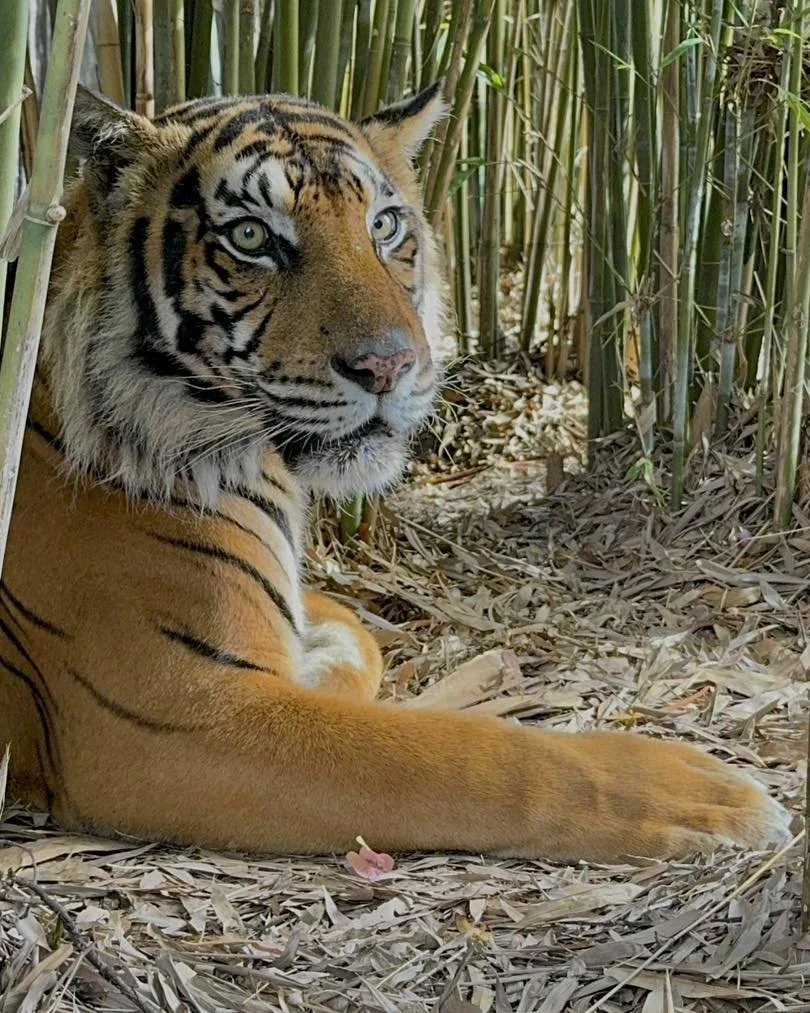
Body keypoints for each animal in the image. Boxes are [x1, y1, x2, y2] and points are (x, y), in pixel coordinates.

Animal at [0, 83, 790, 863]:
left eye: (382, 226)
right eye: (251, 238)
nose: (389, 365)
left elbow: (359, 631)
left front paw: (316, 663)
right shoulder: (171, 714)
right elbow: (465, 756)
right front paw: (705, 791)